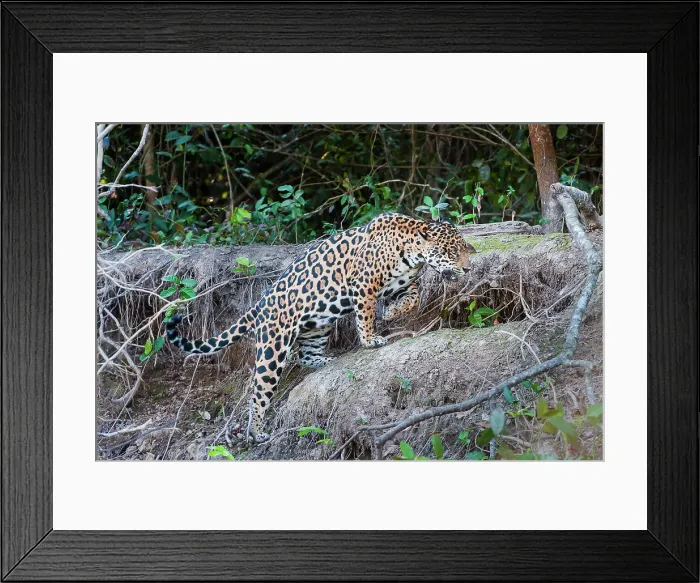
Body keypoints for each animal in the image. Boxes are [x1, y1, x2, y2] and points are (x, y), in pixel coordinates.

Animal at [166, 212, 476, 442]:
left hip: (318, 324)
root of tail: (260, 304)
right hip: (274, 346)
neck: (411, 251)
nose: (468, 269)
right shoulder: (364, 284)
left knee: (305, 355)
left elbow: (413, 298)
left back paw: (323, 360)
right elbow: (365, 314)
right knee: (259, 390)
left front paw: (390, 313)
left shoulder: (402, 285)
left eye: (464, 250)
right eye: (451, 251)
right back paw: (256, 432)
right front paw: (370, 339)